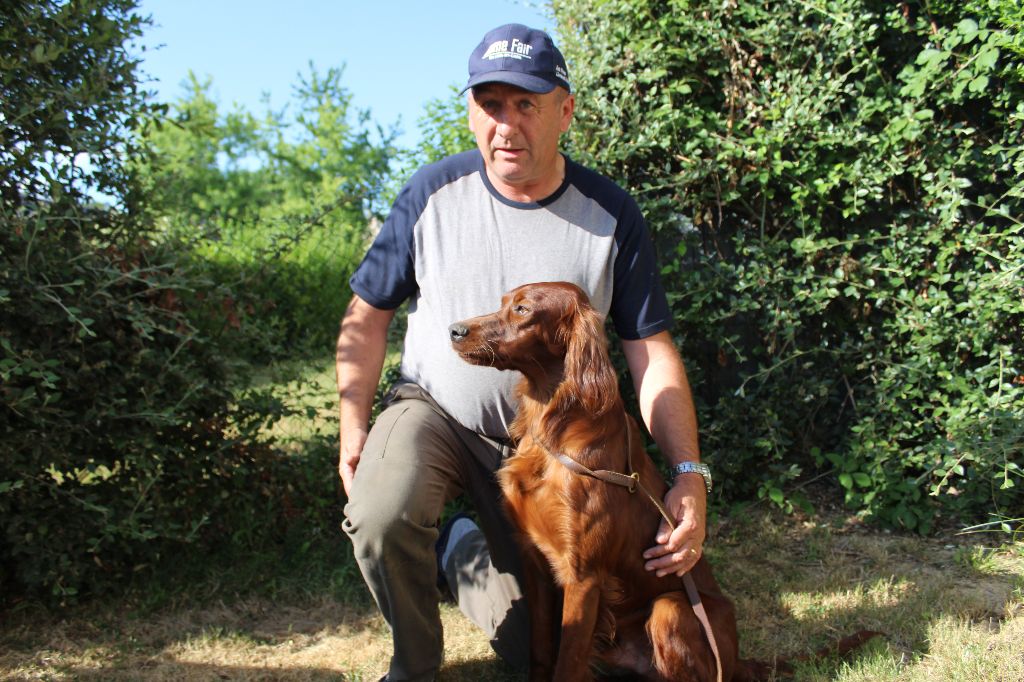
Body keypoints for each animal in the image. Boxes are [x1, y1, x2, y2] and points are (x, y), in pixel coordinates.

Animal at [452, 278, 741, 675]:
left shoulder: (584, 576)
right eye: (503, 303)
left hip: (670, 610)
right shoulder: (534, 561)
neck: (552, 427)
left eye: (523, 310)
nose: (454, 330)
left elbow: (568, 662)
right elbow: (541, 649)